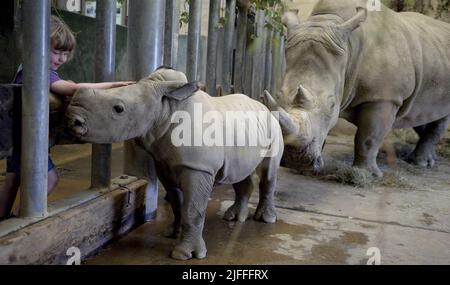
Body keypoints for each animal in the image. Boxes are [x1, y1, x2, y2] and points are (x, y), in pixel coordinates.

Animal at [65, 67, 284, 260]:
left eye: (118, 109)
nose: (73, 120)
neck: (165, 108)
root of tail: (265, 107)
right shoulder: (163, 163)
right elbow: (176, 202)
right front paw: (172, 233)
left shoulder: (197, 167)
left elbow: (192, 209)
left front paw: (186, 255)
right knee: (240, 173)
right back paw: (234, 217)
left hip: (274, 127)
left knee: (268, 174)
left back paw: (265, 219)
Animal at [264, 0, 450, 176]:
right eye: (278, 96)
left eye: (332, 105)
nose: (292, 159)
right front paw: (303, 170)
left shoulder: (383, 97)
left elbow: (368, 137)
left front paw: (365, 173)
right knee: (419, 112)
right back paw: (428, 160)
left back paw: (420, 163)